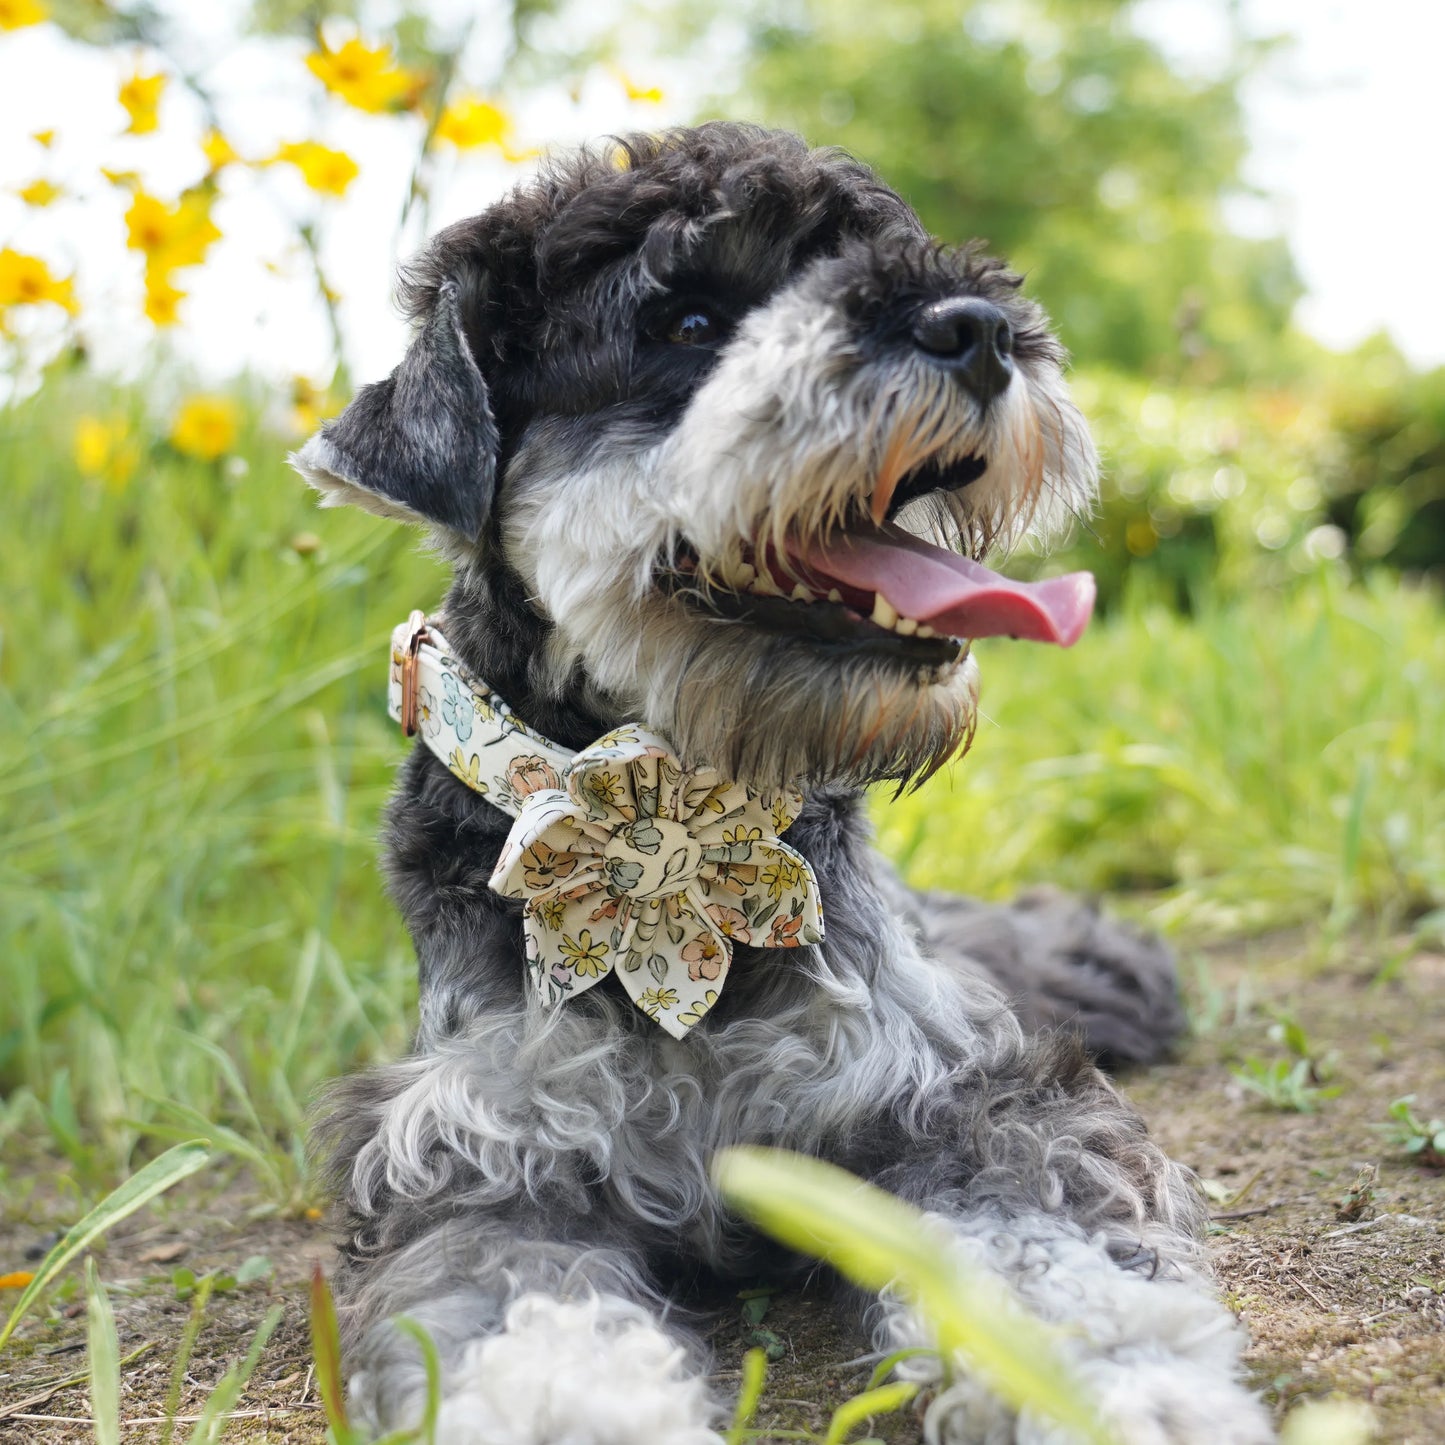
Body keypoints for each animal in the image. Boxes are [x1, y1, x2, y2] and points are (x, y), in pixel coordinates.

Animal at [293, 124, 1265, 1445]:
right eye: (689, 319)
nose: (977, 327)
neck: (680, 821)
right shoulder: (483, 1156)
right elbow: (532, 1335)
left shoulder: (959, 1093)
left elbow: (1046, 1268)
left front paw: (1132, 1392)